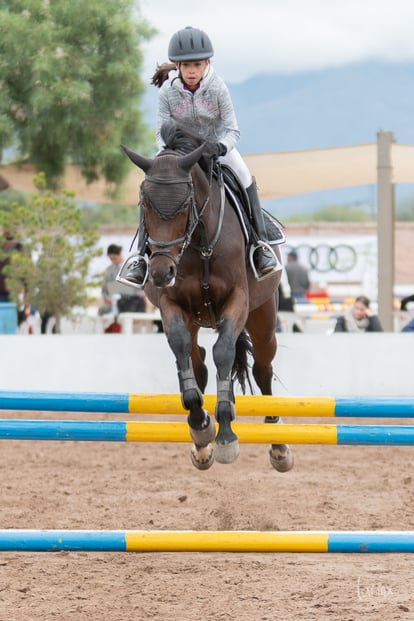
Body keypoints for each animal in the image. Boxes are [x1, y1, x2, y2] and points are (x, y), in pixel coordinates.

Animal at [119, 127, 292, 474]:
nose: (160, 271)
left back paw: (277, 443)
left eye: (185, 204)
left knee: (262, 368)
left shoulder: (238, 300)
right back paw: (202, 441)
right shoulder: (172, 304)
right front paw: (201, 427)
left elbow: (224, 352)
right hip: (197, 317)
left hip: (263, 318)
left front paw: (226, 436)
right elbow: (182, 347)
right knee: (196, 358)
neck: (200, 243)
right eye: (144, 204)